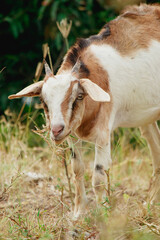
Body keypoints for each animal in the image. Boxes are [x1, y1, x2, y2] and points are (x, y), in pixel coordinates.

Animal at [8, 3, 160, 218]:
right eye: (44, 101)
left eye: (78, 96)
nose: (56, 130)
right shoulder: (72, 135)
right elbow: (77, 170)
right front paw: (79, 213)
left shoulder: (103, 134)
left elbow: (99, 176)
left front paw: (104, 215)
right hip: (147, 118)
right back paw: (151, 204)